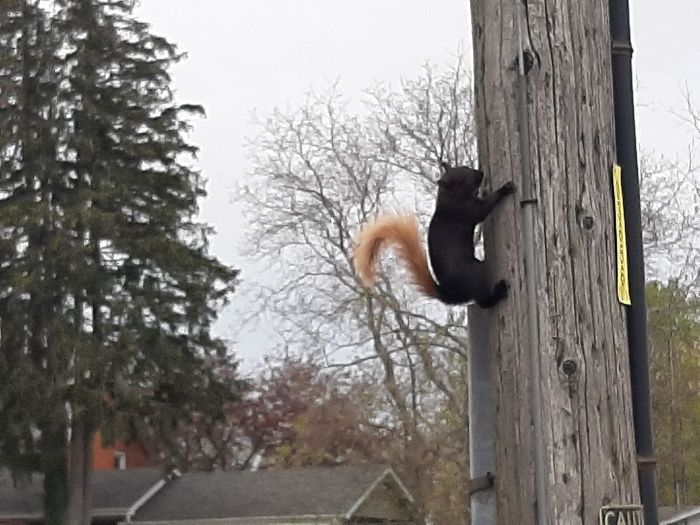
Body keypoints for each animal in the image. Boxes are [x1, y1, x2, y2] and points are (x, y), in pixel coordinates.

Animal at [353, 162, 515, 308]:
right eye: (461, 180)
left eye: (466, 167)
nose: (481, 173)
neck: (449, 199)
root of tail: (448, 294)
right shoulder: (466, 211)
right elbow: (484, 209)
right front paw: (506, 188)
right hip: (475, 273)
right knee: (483, 302)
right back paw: (499, 291)